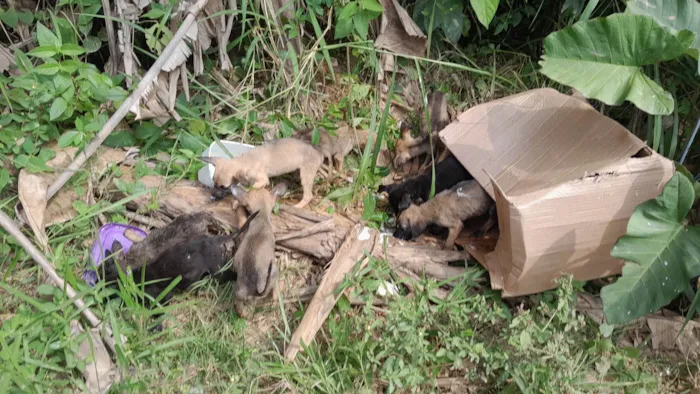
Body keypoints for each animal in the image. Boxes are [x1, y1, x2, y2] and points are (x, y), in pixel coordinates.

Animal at [228, 182, 286, 318]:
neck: (261, 217)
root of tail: (255, 291)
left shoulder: (243, 223)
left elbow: (240, 215)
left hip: (239, 293)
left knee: (242, 309)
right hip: (273, 273)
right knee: (274, 297)